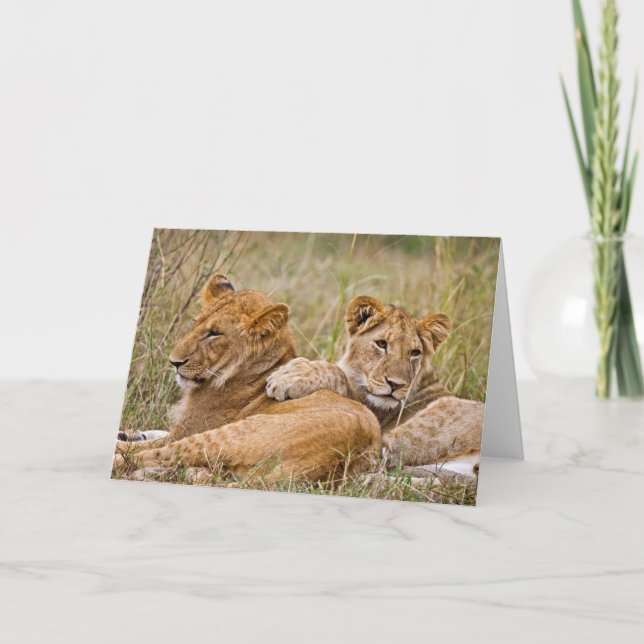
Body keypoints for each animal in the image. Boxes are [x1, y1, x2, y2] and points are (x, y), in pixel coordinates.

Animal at [114, 274, 381, 483]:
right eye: (196, 324)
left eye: (214, 333)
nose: (174, 362)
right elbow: (151, 434)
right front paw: (131, 432)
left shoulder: (185, 430)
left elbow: (146, 445)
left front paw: (126, 438)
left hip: (223, 436)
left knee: (143, 456)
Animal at [266, 295, 483, 473]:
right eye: (381, 344)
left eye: (415, 353)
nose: (395, 385)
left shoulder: (370, 410)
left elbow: (337, 374)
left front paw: (289, 375)